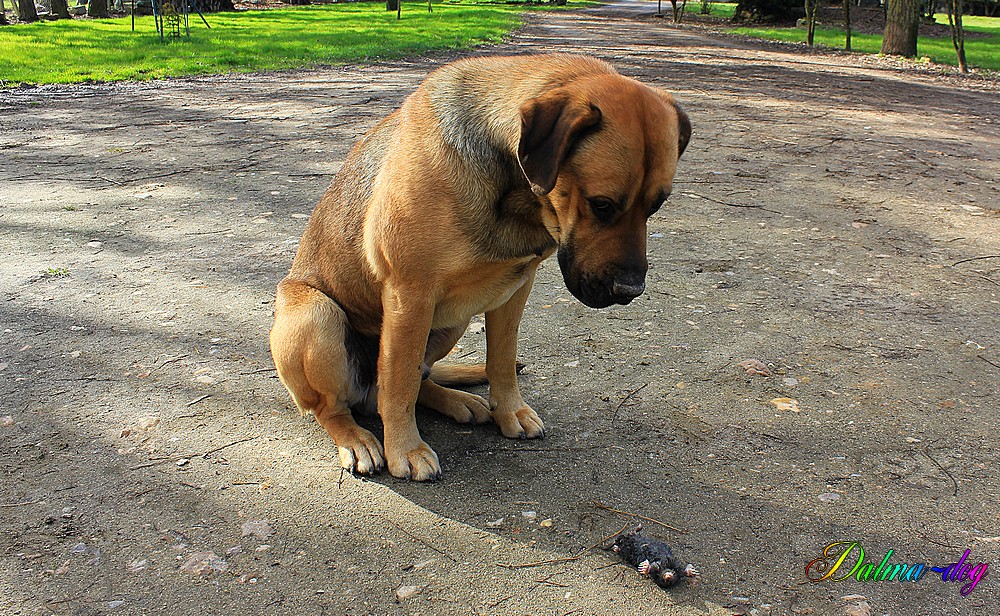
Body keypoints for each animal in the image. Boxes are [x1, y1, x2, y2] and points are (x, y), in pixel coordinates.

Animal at [268, 54, 688, 482]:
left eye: (656, 205)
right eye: (601, 204)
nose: (630, 291)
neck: (516, 196)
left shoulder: (515, 288)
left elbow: (500, 360)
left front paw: (509, 411)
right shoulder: (410, 294)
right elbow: (399, 383)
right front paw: (406, 448)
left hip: (451, 321)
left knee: (413, 381)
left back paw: (459, 401)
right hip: (317, 314)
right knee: (339, 407)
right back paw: (357, 439)